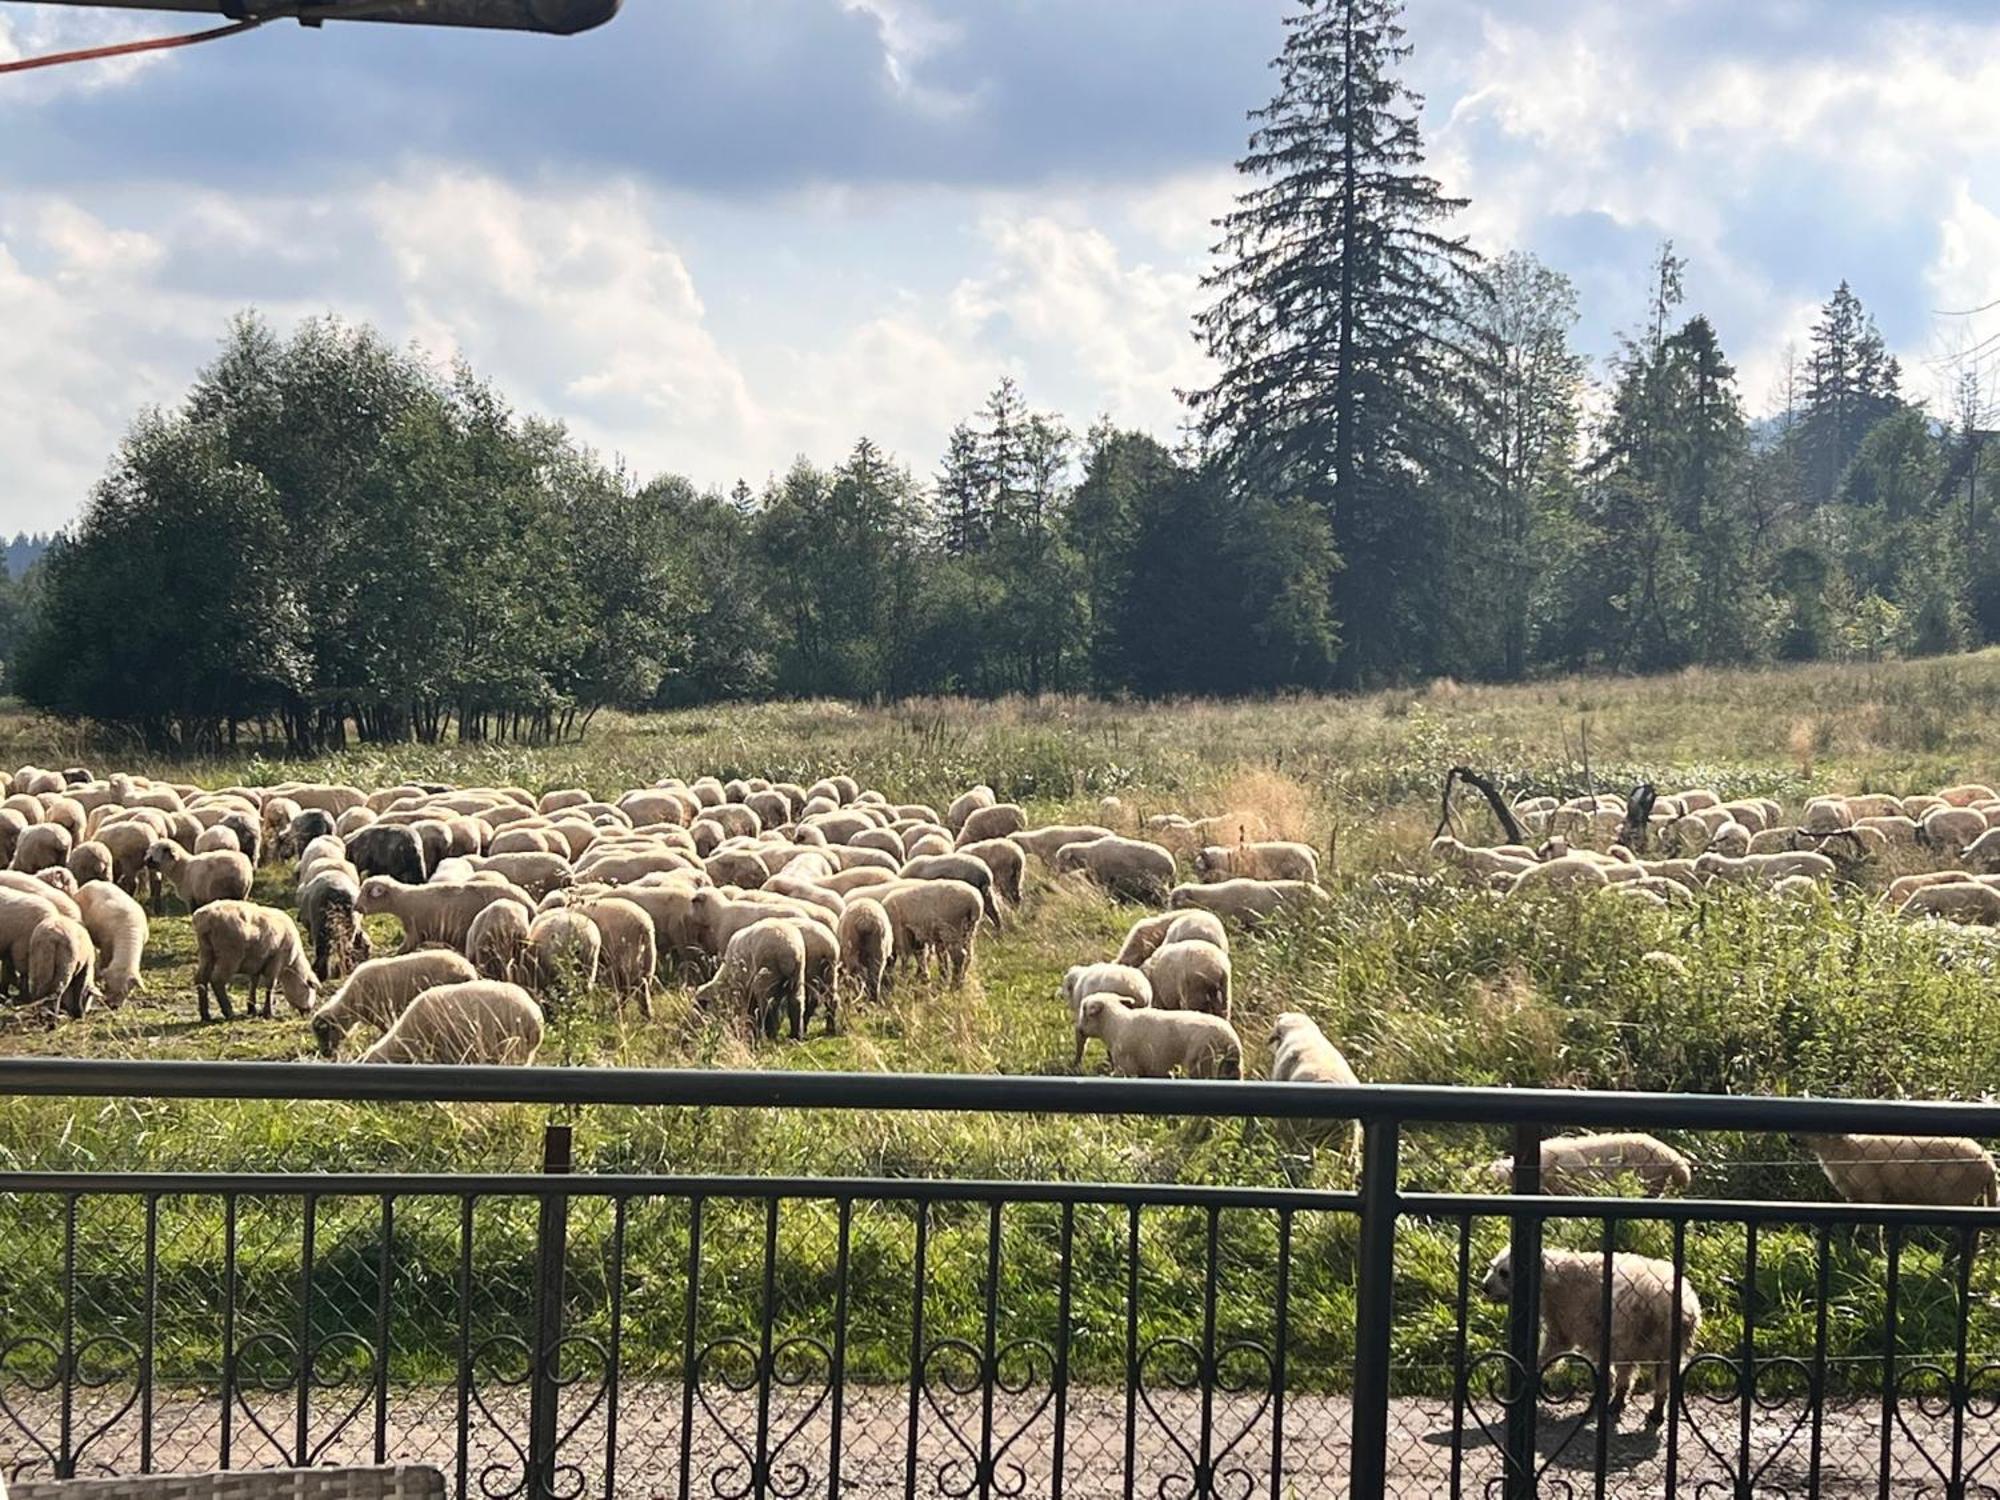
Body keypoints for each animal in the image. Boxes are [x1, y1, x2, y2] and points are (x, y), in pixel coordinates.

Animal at [73, 880, 146, 1012]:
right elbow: (104, 963)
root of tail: (92, 882)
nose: (113, 1006)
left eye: (127, 991)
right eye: (108, 986)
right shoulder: (106, 945)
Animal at [191, 900, 316, 1032]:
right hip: (229, 954)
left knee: (201, 979)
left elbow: (254, 983)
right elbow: (270, 986)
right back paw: (229, 1013)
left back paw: (205, 1015)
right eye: (310, 989)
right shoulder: (276, 960)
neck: (291, 965)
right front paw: (268, 1013)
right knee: (217, 980)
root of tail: (203, 917)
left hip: (206, 951)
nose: (308, 1012)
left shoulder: (257, 964)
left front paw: (252, 1009)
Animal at [308, 952, 480, 1056]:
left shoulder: (382, 1015)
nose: (325, 1054)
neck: (351, 1003)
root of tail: (467, 968)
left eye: (323, 1031)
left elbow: (387, 1031)